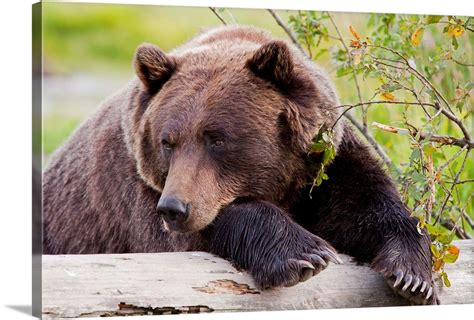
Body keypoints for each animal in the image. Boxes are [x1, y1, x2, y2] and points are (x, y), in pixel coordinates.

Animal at [42, 25, 438, 304]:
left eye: (216, 139)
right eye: (167, 142)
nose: (174, 208)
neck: (280, 187)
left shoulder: (323, 165)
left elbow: (367, 205)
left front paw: (412, 276)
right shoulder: (139, 193)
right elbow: (207, 227)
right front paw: (305, 254)